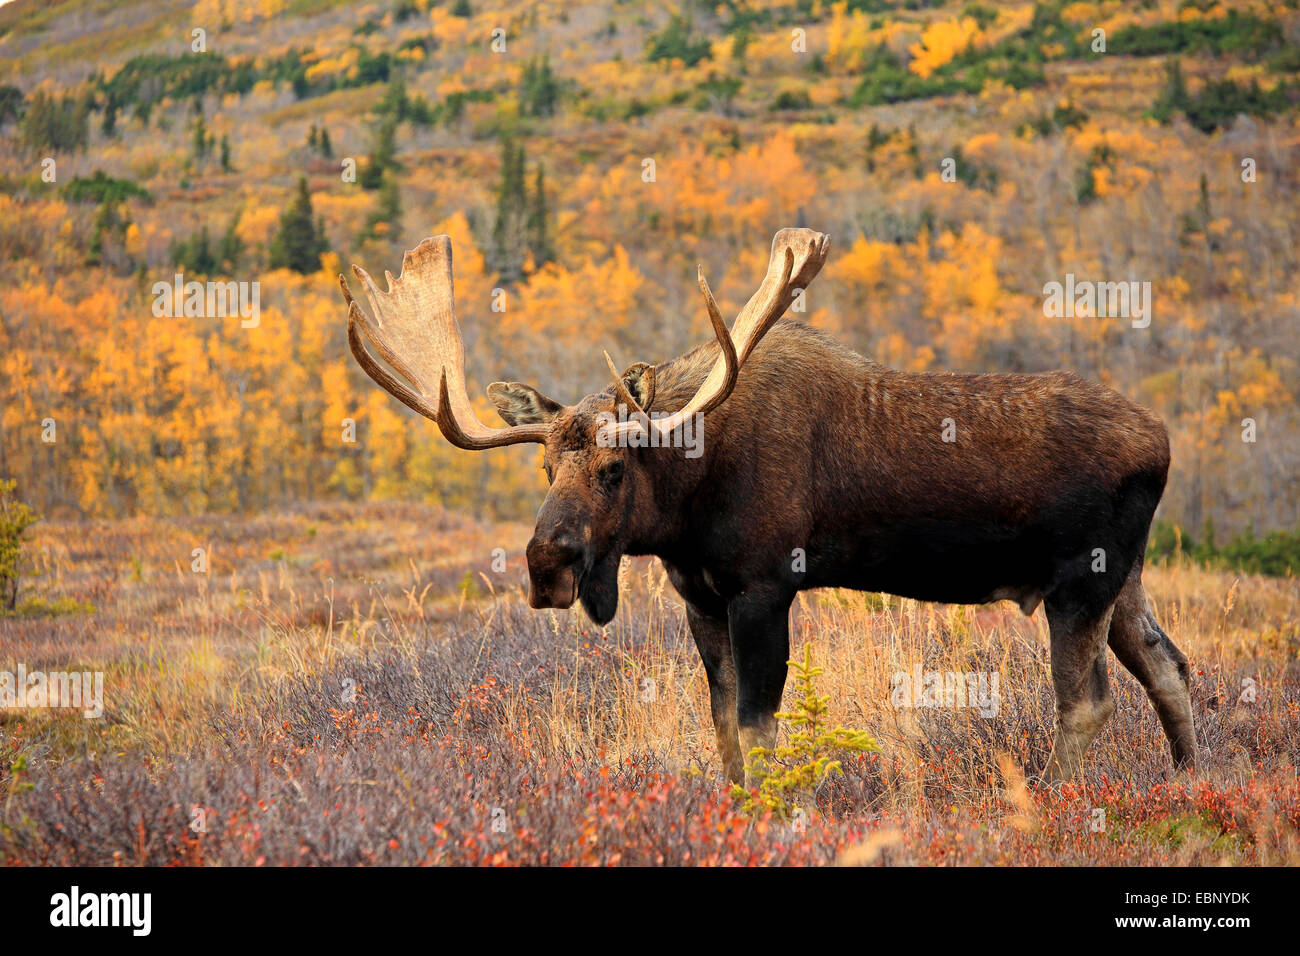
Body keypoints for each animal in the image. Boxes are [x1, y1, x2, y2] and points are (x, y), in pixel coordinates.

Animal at [343, 230, 1196, 785]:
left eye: (614, 469)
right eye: (547, 466)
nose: (546, 566)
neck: (685, 506)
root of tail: (1162, 441)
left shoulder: (765, 584)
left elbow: (758, 730)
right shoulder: (700, 597)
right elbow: (723, 729)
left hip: (1081, 582)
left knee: (1087, 704)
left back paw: (1056, 799)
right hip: (1123, 580)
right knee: (1169, 667)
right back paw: (1192, 783)